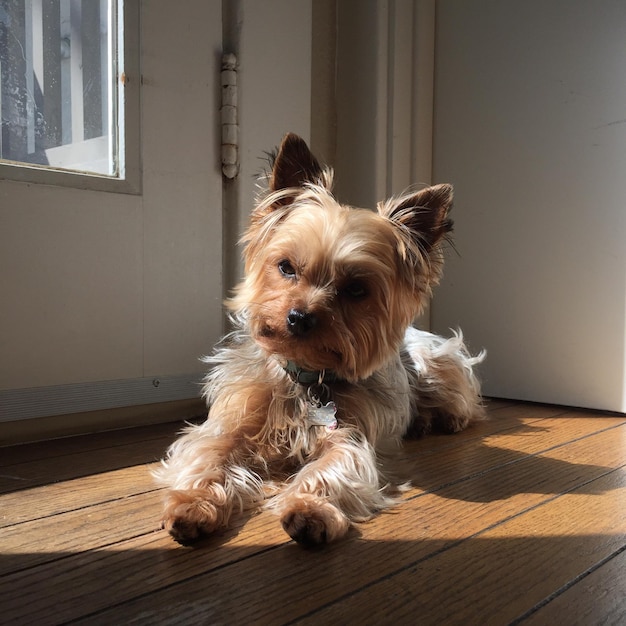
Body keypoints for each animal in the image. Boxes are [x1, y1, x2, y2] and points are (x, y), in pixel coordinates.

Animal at [154, 133, 486, 544]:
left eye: (356, 289)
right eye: (286, 267)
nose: (298, 318)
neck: (307, 374)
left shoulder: (351, 435)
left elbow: (335, 466)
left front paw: (308, 510)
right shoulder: (229, 423)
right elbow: (208, 454)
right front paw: (192, 505)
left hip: (437, 362)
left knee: (463, 402)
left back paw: (441, 419)